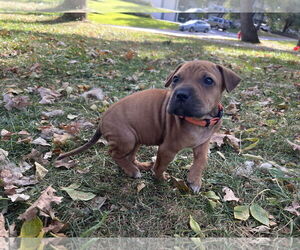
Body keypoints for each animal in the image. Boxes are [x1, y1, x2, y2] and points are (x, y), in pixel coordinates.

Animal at [56, 60, 241, 193]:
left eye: (208, 80)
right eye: (176, 79)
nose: (180, 94)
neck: (201, 120)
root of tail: (102, 120)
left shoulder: (203, 144)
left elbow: (201, 161)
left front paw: (194, 180)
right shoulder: (167, 149)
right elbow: (160, 166)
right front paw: (160, 179)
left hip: (136, 139)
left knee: (129, 156)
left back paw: (138, 165)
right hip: (126, 138)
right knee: (114, 154)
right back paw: (132, 171)